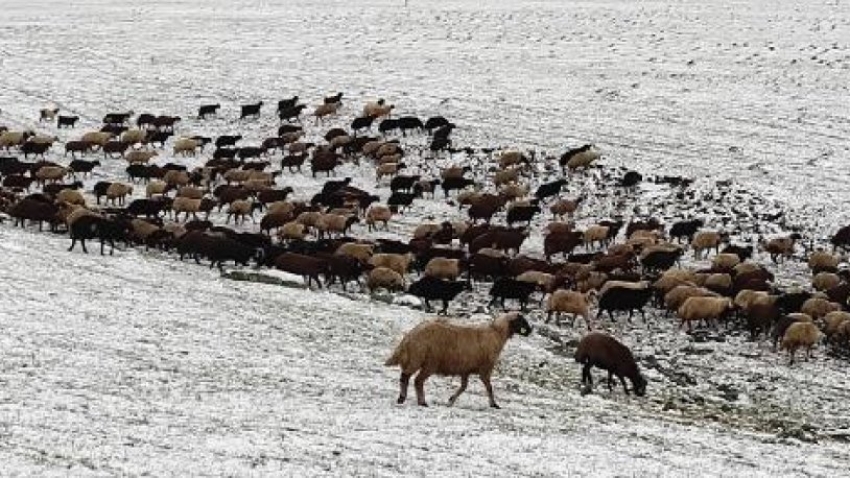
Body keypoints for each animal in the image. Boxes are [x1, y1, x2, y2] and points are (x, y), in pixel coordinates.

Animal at [384, 312, 528, 408]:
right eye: (522, 321)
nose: (530, 331)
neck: (497, 334)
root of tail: (409, 337)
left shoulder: (465, 370)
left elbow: (463, 387)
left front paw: (451, 400)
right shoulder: (485, 370)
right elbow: (489, 387)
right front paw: (494, 404)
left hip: (418, 359)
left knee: (409, 378)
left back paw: (409, 399)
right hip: (424, 360)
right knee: (413, 379)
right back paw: (416, 401)